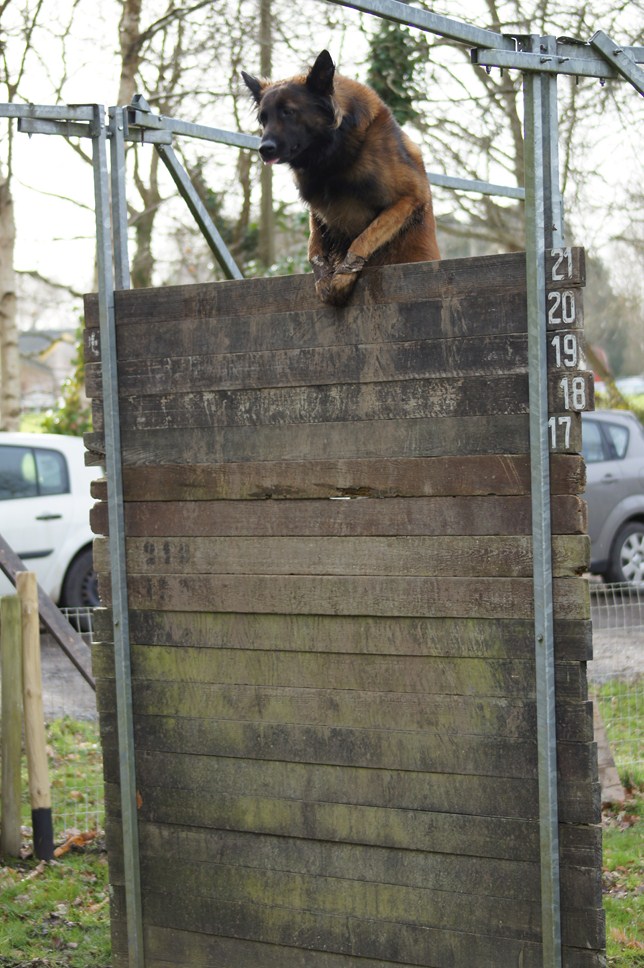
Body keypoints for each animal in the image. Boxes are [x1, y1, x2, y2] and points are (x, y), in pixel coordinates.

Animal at [244, 50, 440, 306]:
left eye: (289, 112)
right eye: (263, 118)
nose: (264, 149)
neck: (331, 160)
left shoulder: (409, 198)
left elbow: (366, 236)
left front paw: (345, 274)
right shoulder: (318, 210)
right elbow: (314, 247)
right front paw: (322, 276)